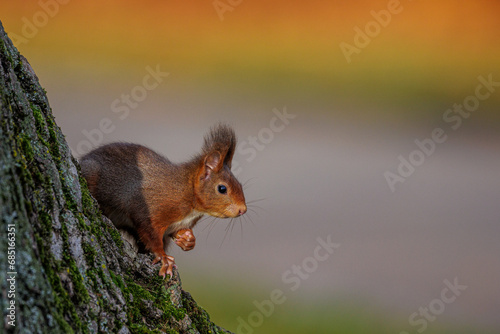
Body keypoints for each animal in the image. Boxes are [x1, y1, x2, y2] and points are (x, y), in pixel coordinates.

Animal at [78, 124, 248, 278]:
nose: (243, 210)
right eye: (222, 189)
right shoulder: (150, 209)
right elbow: (151, 235)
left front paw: (188, 239)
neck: (187, 193)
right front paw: (164, 258)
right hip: (92, 174)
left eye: (240, 185)